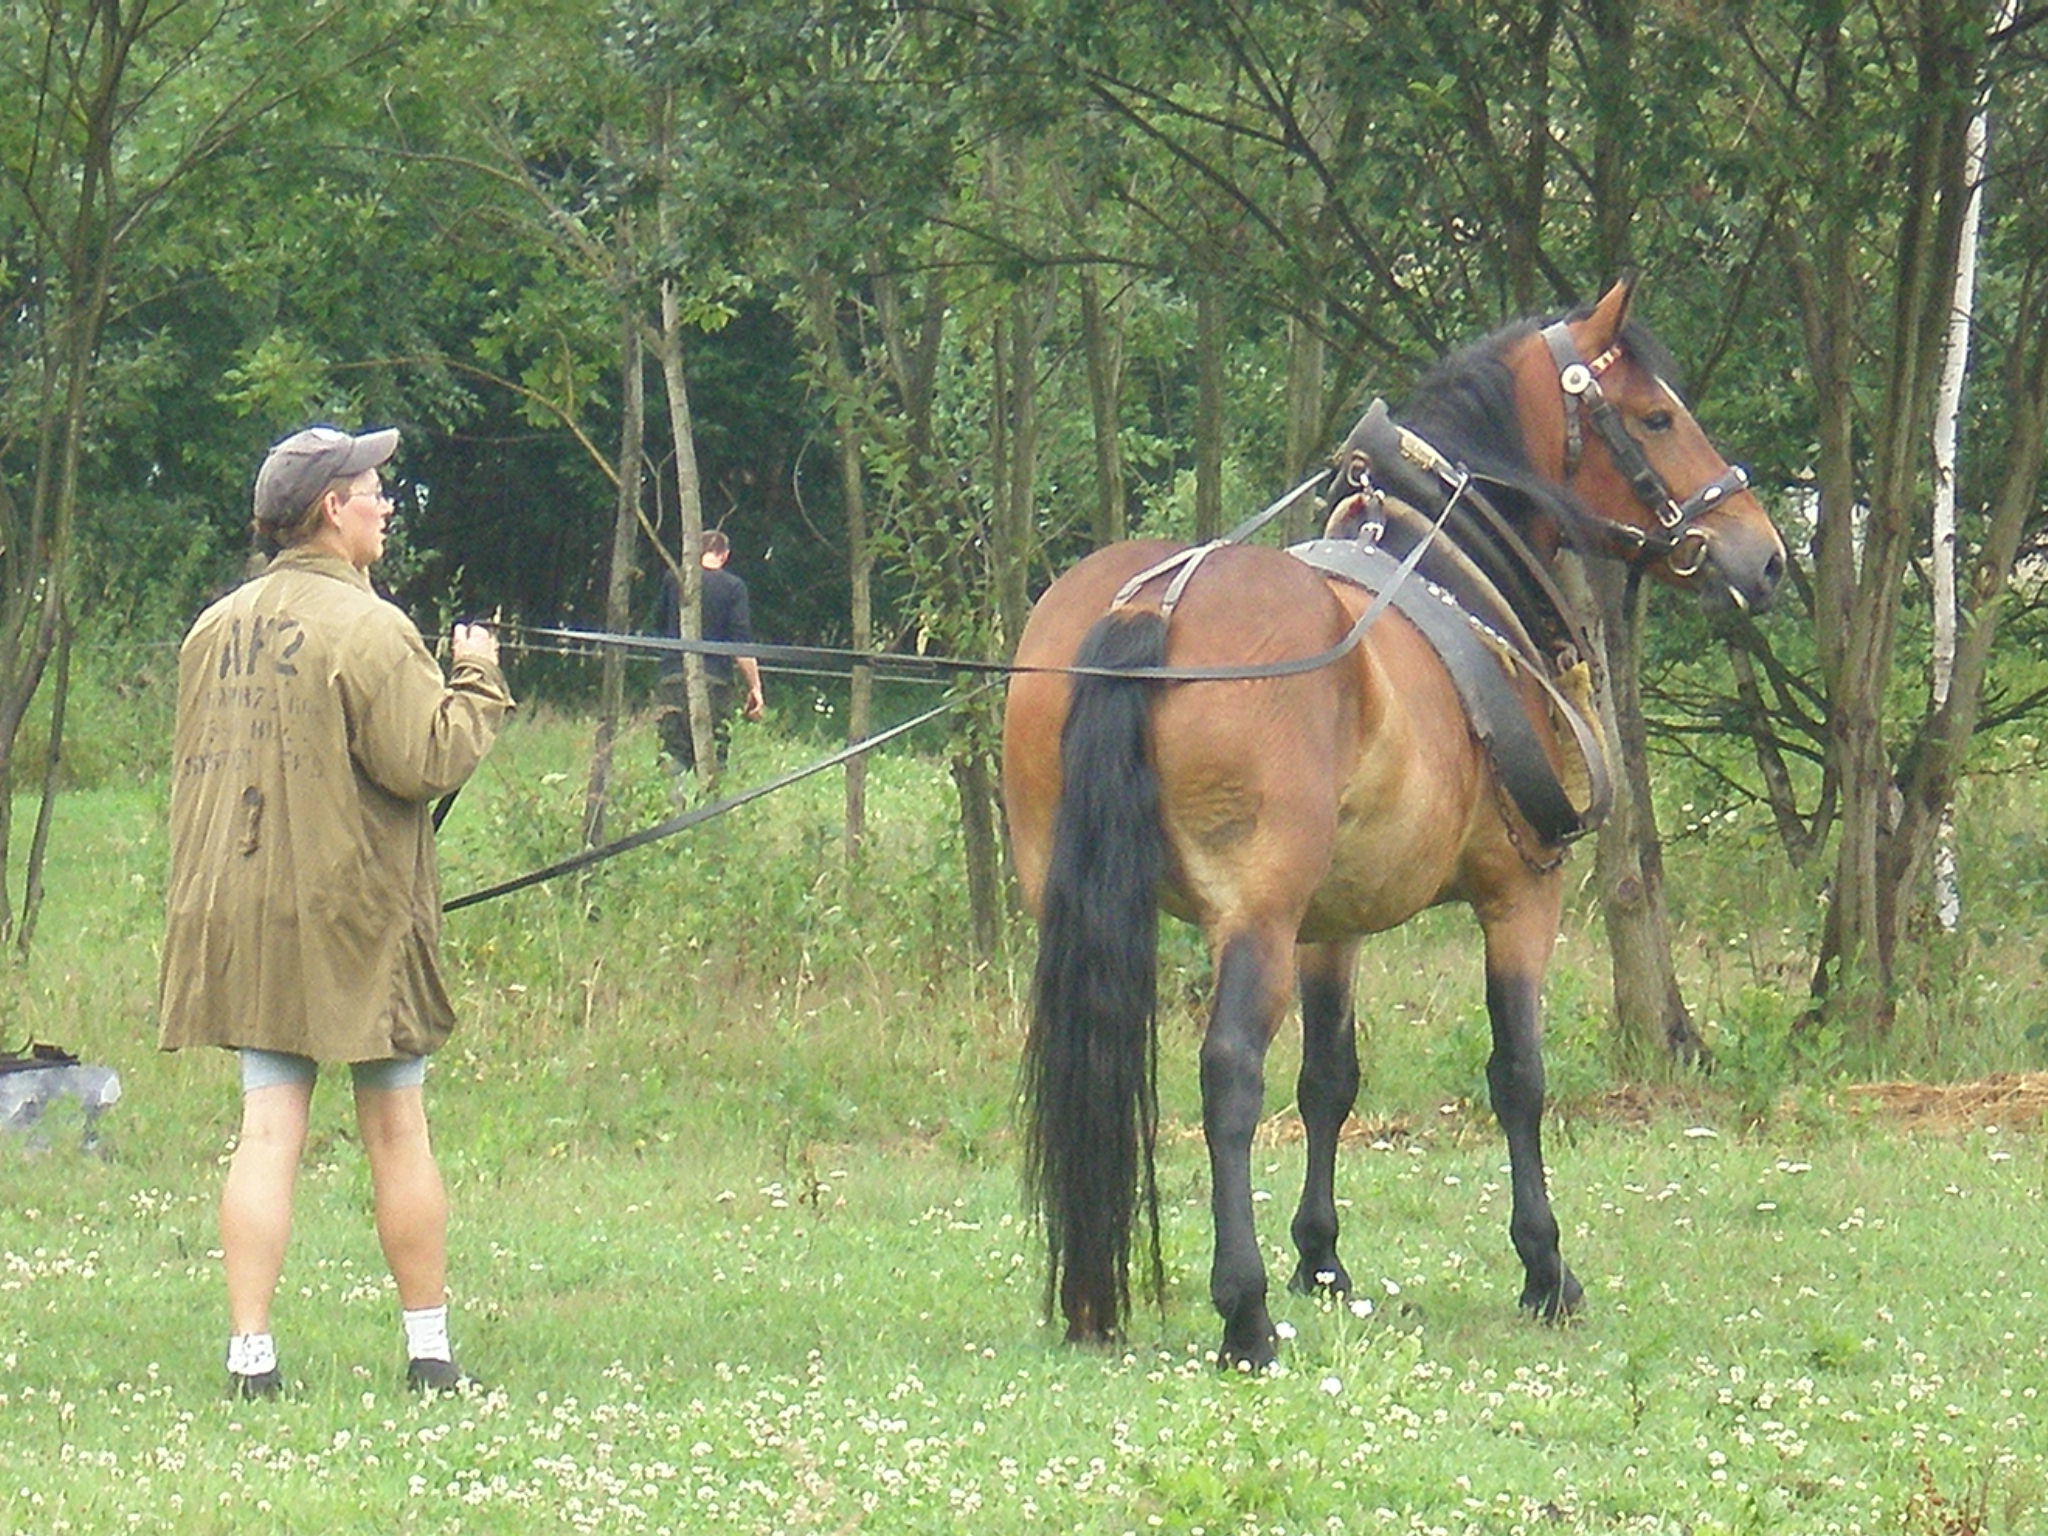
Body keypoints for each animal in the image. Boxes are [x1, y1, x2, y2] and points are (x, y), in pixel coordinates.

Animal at [999, 276, 1785, 1368]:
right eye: (1656, 416)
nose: (1766, 557)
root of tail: (1152, 600)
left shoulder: (1328, 925)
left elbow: (1329, 1079)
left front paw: (1322, 1258)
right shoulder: (1518, 897)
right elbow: (1517, 1075)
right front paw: (1545, 1268)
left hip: (1072, 902)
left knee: (1086, 1062)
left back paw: (1089, 1294)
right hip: (1253, 915)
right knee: (1228, 1076)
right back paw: (1244, 1315)